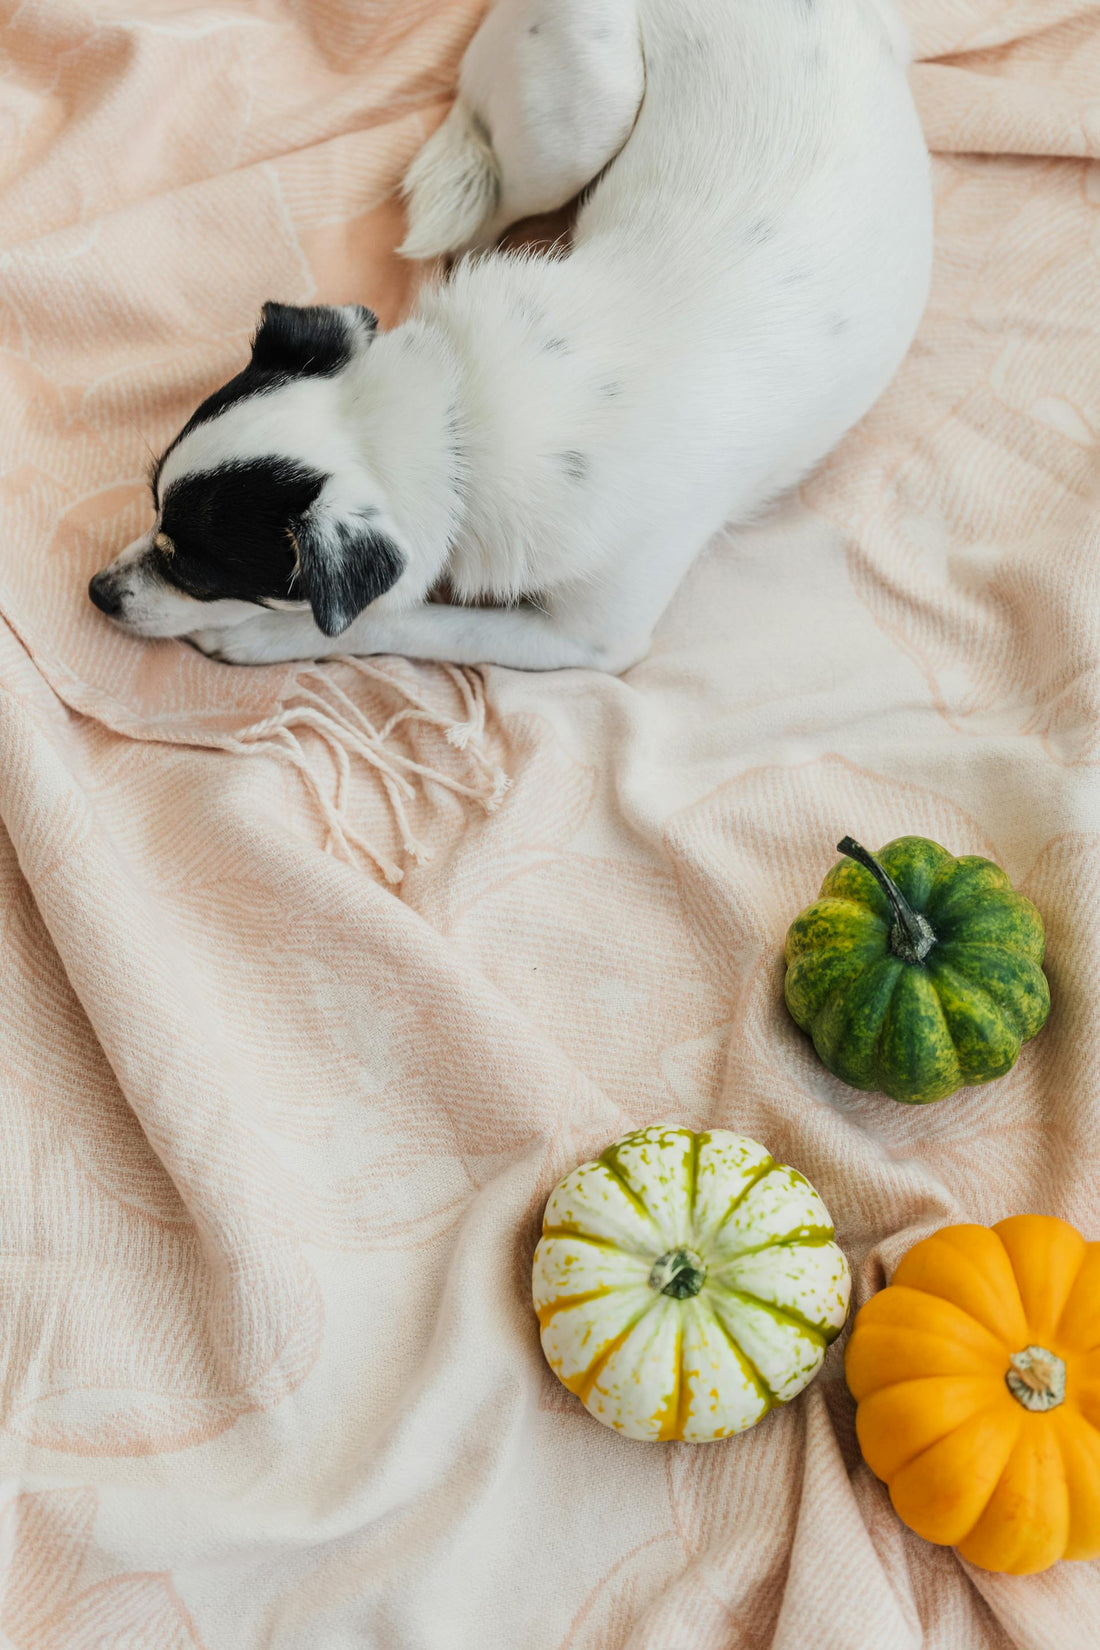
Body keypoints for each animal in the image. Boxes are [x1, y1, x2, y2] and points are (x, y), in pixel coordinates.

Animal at [86, 0, 936, 676]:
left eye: (196, 570)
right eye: (152, 509)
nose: (98, 592)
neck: (461, 418)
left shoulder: (590, 641)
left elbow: (402, 621)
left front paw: (266, 641)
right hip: (585, 108)